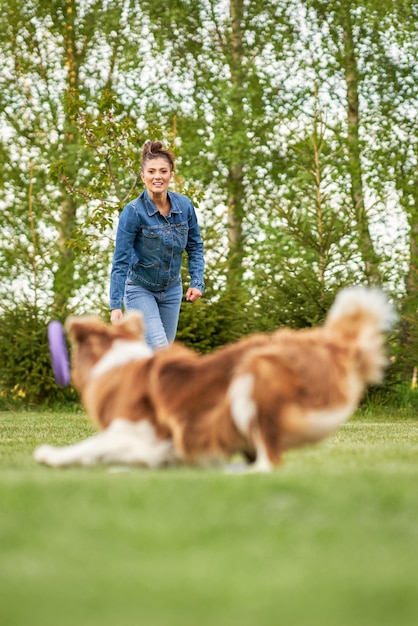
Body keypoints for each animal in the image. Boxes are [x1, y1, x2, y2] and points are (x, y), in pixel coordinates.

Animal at [35, 286, 396, 470]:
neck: (117, 364)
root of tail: (332, 344)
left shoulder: (136, 430)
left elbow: (91, 444)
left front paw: (51, 455)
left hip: (252, 375)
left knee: (271, 461)